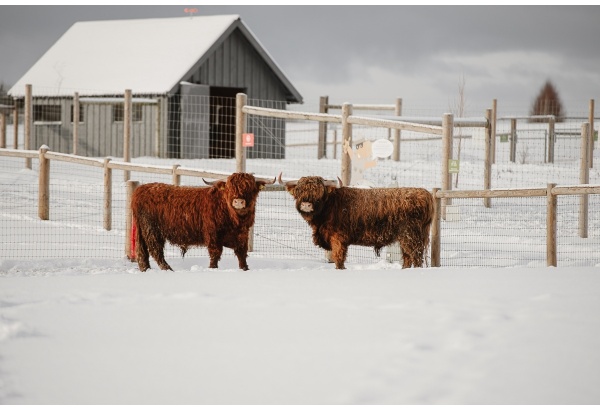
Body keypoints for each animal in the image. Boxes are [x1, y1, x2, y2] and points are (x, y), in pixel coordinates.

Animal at [132, 173, 274, 272]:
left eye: (250, 187)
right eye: (229, 188)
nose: (238, 201)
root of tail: (141, 189)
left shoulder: (242, 237)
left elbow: (242, 255)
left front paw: (245, 269)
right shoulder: (213, 236)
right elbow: (215, 255)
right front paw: (212, 269)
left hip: (143, 231)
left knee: (142, 253)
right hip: (152, 230)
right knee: (155, 251)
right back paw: (168, 270)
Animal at [278, 173, 434, 270]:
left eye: (319, 193)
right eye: (299, 191)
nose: (306, 205)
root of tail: (424, 193)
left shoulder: (338, 239)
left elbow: (339, 259)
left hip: (411, 236)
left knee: (416, 257)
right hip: (406, 238)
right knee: (407, 257)